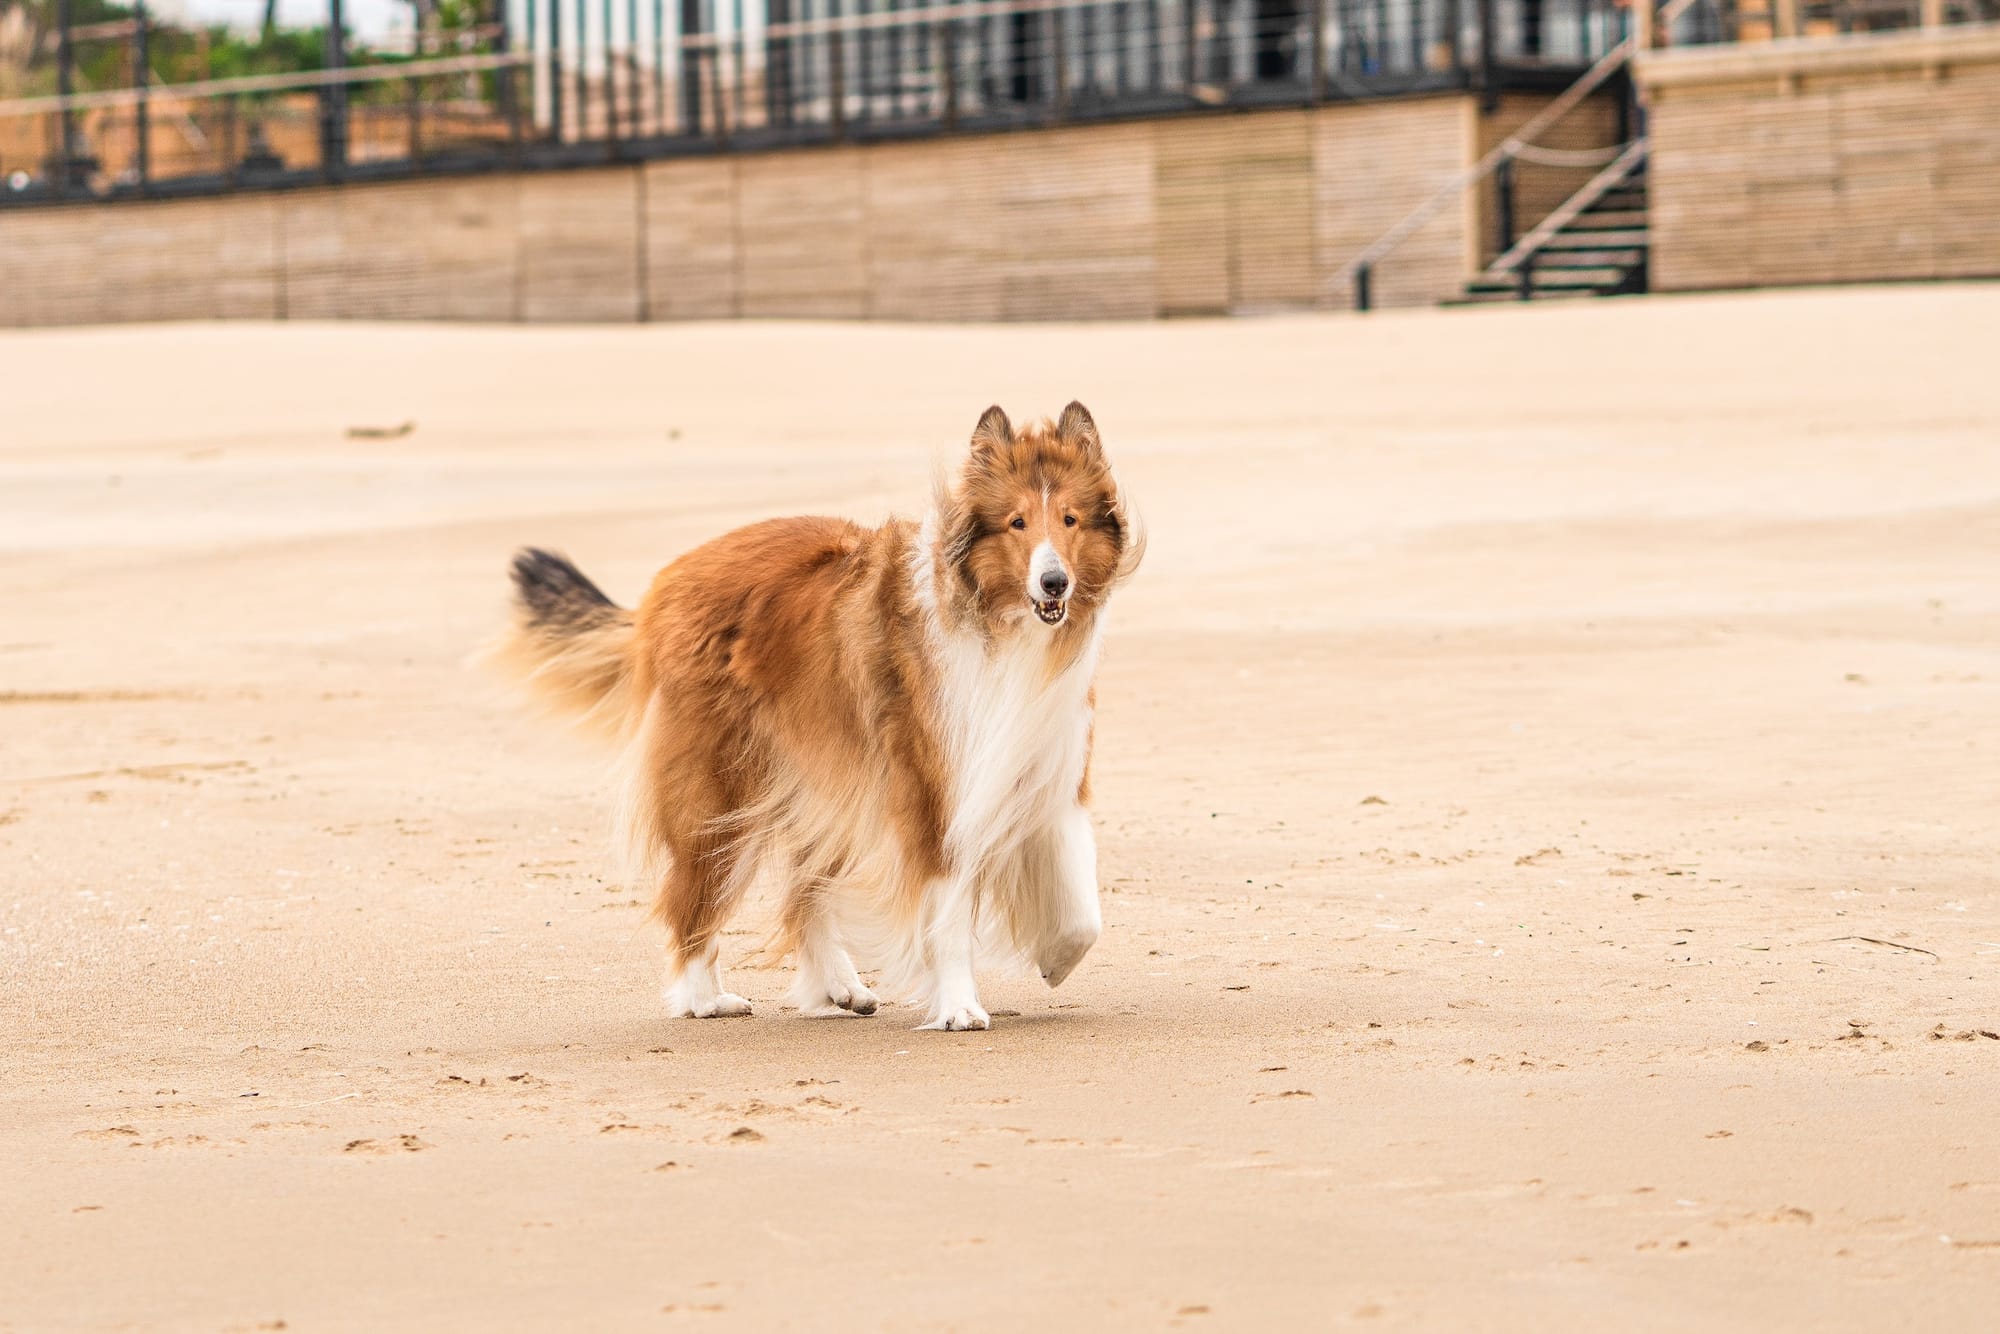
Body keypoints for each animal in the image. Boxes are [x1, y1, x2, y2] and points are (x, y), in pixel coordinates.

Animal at [496, 404, 1144, 1032]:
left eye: (1070, 520)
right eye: (1016, 522)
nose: (1054, 582)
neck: (998, 625)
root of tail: (665, 582)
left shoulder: (1045, 769)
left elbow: (1084, 912)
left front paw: (1055, 958)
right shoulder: (936, 794)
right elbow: (949, 917)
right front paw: (959, 1007)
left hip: (830, 775)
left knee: (803, 886)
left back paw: (838, 986)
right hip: (721, 790)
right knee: (693, 894)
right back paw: (703, 996)